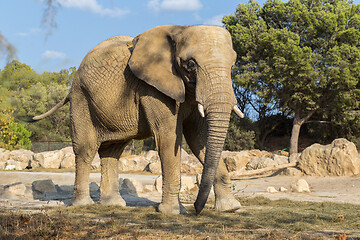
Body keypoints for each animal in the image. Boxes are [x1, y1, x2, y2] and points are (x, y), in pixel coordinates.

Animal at [33, 25, 243, 215]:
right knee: (86, 149)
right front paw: (173, 211)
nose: (197, 209)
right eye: (190, 65)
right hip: (81, 99)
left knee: (112, 150)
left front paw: (230, 208)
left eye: (233, 65)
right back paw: (83, 205)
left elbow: (198, 138)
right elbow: (168, 136)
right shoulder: (152, 88)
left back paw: (114, 204)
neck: (180, 29)